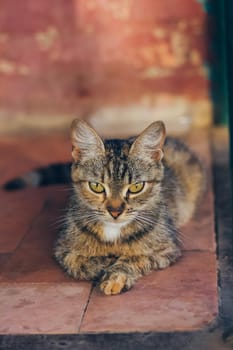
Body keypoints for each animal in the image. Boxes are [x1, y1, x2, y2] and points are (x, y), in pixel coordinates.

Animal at [52, 119, 206, 294]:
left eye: (136, 187)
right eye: (96, 186)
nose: (115, 211)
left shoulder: (166, 250)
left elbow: (133, 258)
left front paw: (115, 276)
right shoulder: (61, 248)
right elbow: (75, 262)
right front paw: (101, 264)